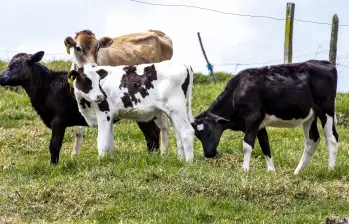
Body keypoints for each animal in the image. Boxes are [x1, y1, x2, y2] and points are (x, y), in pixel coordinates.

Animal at [66, 61, 194, 161]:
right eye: (86, 80)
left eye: (98, 81)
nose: (100, 96)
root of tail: (183, 64)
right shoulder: (110, 117)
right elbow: (109, 141)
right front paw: (110, 160)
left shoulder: (104, 114)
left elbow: (102, 141)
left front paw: (101, 161)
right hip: (172, 112)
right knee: (178, 135)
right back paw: (180, 160)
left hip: (177, 108)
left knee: (187, 132)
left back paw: (188, 162)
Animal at [190, 60, 338, 174]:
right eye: (197, 135)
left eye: (209, 131)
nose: (208, 154)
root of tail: (325, 62)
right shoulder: (259, 124)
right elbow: (265, 145)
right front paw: (271, 171)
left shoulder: (253, 118)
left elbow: (247, 145)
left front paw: (244, 170)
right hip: (310, 116)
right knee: (312, 139)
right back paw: (297, 172)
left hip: (326, 108)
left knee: (332, 137)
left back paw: (331, 169)